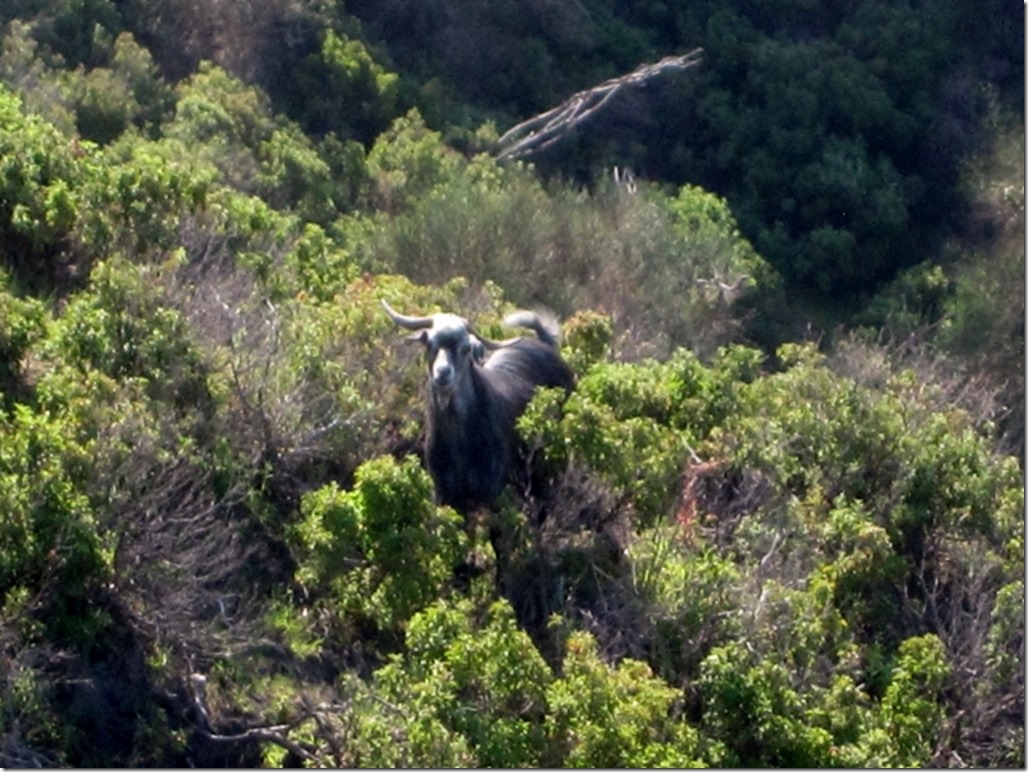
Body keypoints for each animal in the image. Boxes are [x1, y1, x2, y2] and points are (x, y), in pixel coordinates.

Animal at [382, 298, 575, 509]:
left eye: (465, 348)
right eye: (429, 342)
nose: (443, 373)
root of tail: (545, 343)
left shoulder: (491, 490)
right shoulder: (444, 493)